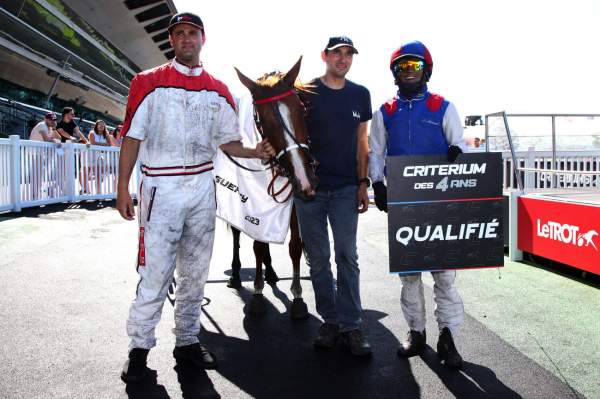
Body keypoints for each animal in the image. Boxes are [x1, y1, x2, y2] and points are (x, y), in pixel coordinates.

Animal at [226, 57, 318, 318]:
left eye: (302, 110)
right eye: (263, 121)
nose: (305, 179)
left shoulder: (295, 200)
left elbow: (295, 246)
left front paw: (298, 296)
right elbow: (257, 246)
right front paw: (257, 294)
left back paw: (271, 272)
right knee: (237, 235)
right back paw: (236, 274)